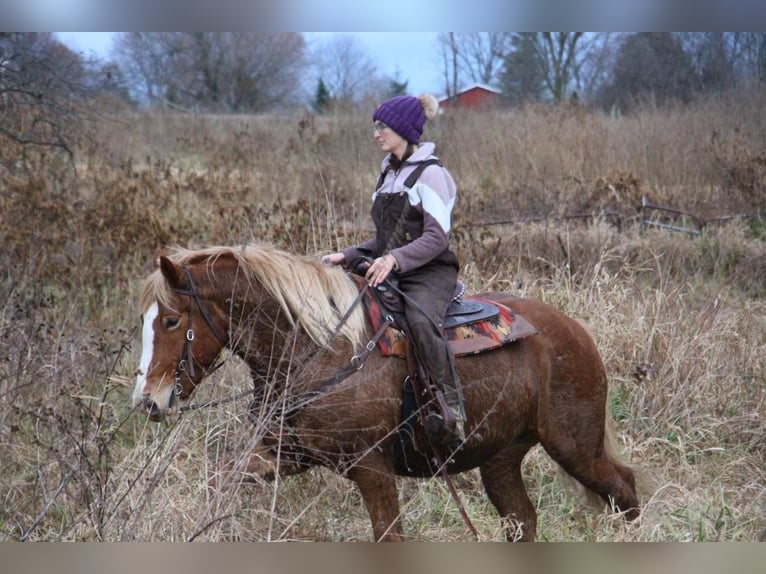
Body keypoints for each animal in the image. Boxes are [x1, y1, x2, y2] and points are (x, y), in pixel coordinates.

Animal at [132, 245, 640, 544]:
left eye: (172, 320)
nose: (149, 401)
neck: (319, 350)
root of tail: (574, 330)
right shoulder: (284, 454)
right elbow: (220, 482)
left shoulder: (371, 468)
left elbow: (388, 537)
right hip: (500, 460)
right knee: (523, 521)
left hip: (575, 446)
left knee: (624, 490)